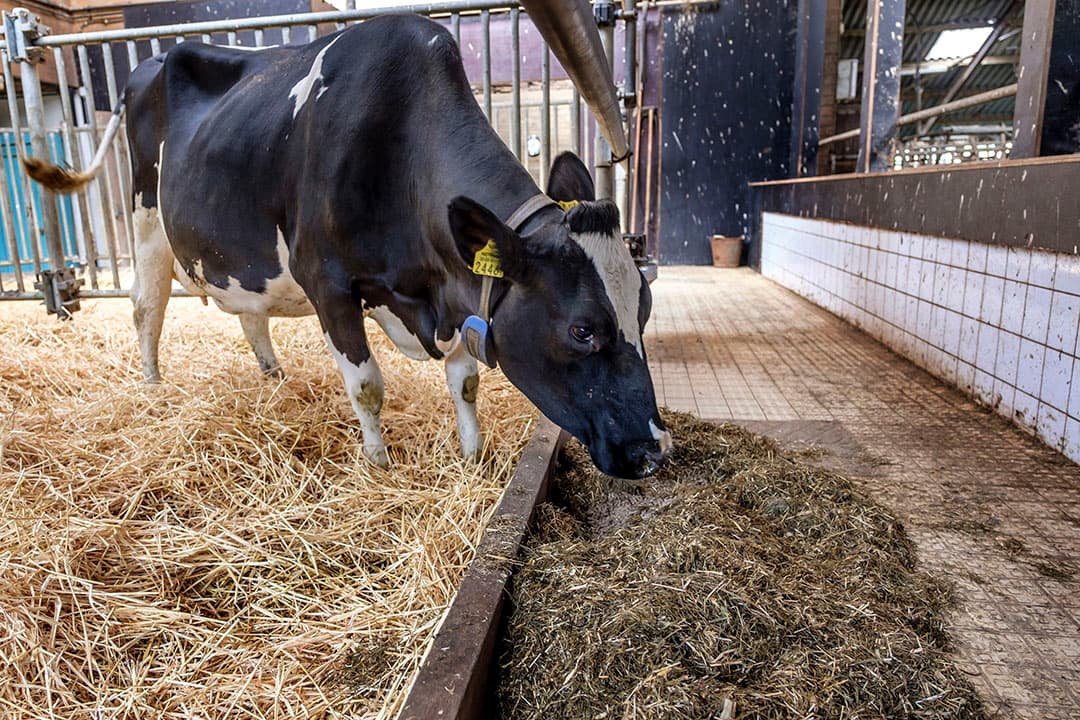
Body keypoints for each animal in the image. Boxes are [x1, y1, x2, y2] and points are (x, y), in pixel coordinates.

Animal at [25, 13, 672, 479]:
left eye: (644, 310)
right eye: (582, 330)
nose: (654, 450)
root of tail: (154, 58)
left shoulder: (452, 288)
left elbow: (464, 381)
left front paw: (472, 456)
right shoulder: (327, 282)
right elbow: (367, 386)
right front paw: (379, 466)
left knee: (251, 315)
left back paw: (274, 380)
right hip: (146, 218)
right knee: (146, 307)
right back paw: (155, 387)